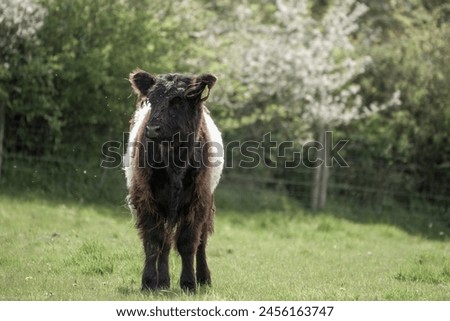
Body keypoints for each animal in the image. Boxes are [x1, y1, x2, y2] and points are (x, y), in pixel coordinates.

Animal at [123, 69, 223, 292]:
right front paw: (149, 282)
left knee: (201, 241)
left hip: (207, 202)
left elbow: (188, 242)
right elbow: (154, 241)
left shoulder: (197, 200)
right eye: (151, 99)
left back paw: (204, 278)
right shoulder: (146, 198)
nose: (152, 129)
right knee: (166, 242)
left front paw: (189, 283)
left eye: (178, 100)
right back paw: (163, 282)